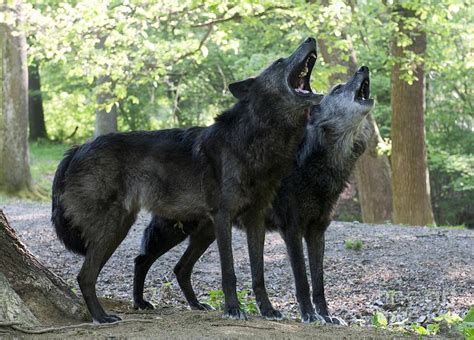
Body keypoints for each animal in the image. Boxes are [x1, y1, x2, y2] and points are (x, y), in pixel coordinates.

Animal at [51, 37, 322, 324]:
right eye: (280, 61)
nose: (310, 38)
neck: (255, 139)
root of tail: (76, 149)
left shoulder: (255, 220)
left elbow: (258, 274)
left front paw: (267, 310)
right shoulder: (224, 217)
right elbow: (229, 272)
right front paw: (233, 309)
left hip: (155, 231)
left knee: (168, 267)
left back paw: (157, 304)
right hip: (123, 229)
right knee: (88, 275)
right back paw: (101, 316)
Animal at [133, 66, 374, 324]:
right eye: (338, 88)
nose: (364, 68)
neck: (314, 161)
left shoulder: (317, 232)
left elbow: (319, 283)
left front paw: (326, 317)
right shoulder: (292, 230)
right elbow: (302, 279)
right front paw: (309, 314)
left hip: (206, 234)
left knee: (180, 268)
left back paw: (196, 305)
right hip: (175, 231)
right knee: (142, 260)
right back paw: (139, 302)